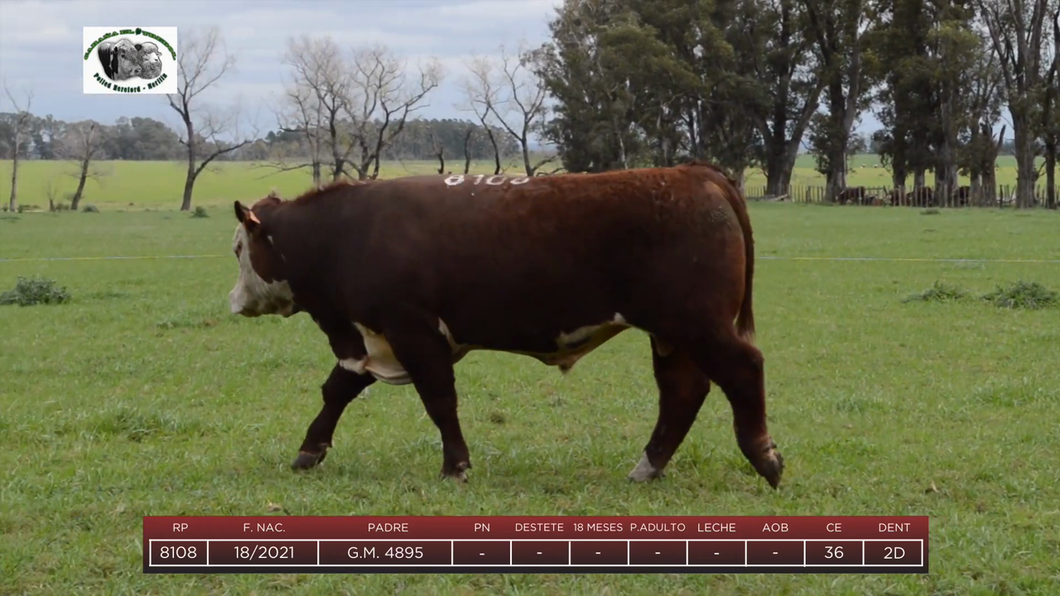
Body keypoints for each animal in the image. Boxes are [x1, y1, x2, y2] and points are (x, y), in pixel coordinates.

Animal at [227, 161, 784, 487]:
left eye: (237, 248)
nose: (233, 301)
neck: (344, 233)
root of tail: (692, 172)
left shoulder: (413, 332)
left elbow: (439, 399)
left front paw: (455, 465)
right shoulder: (370, 339)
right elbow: (337, 390)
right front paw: (309, 451)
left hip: (699, 324)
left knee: (742, 370)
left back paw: (765, 459)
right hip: (674, 333)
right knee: (682, 392)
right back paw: (648, 467)